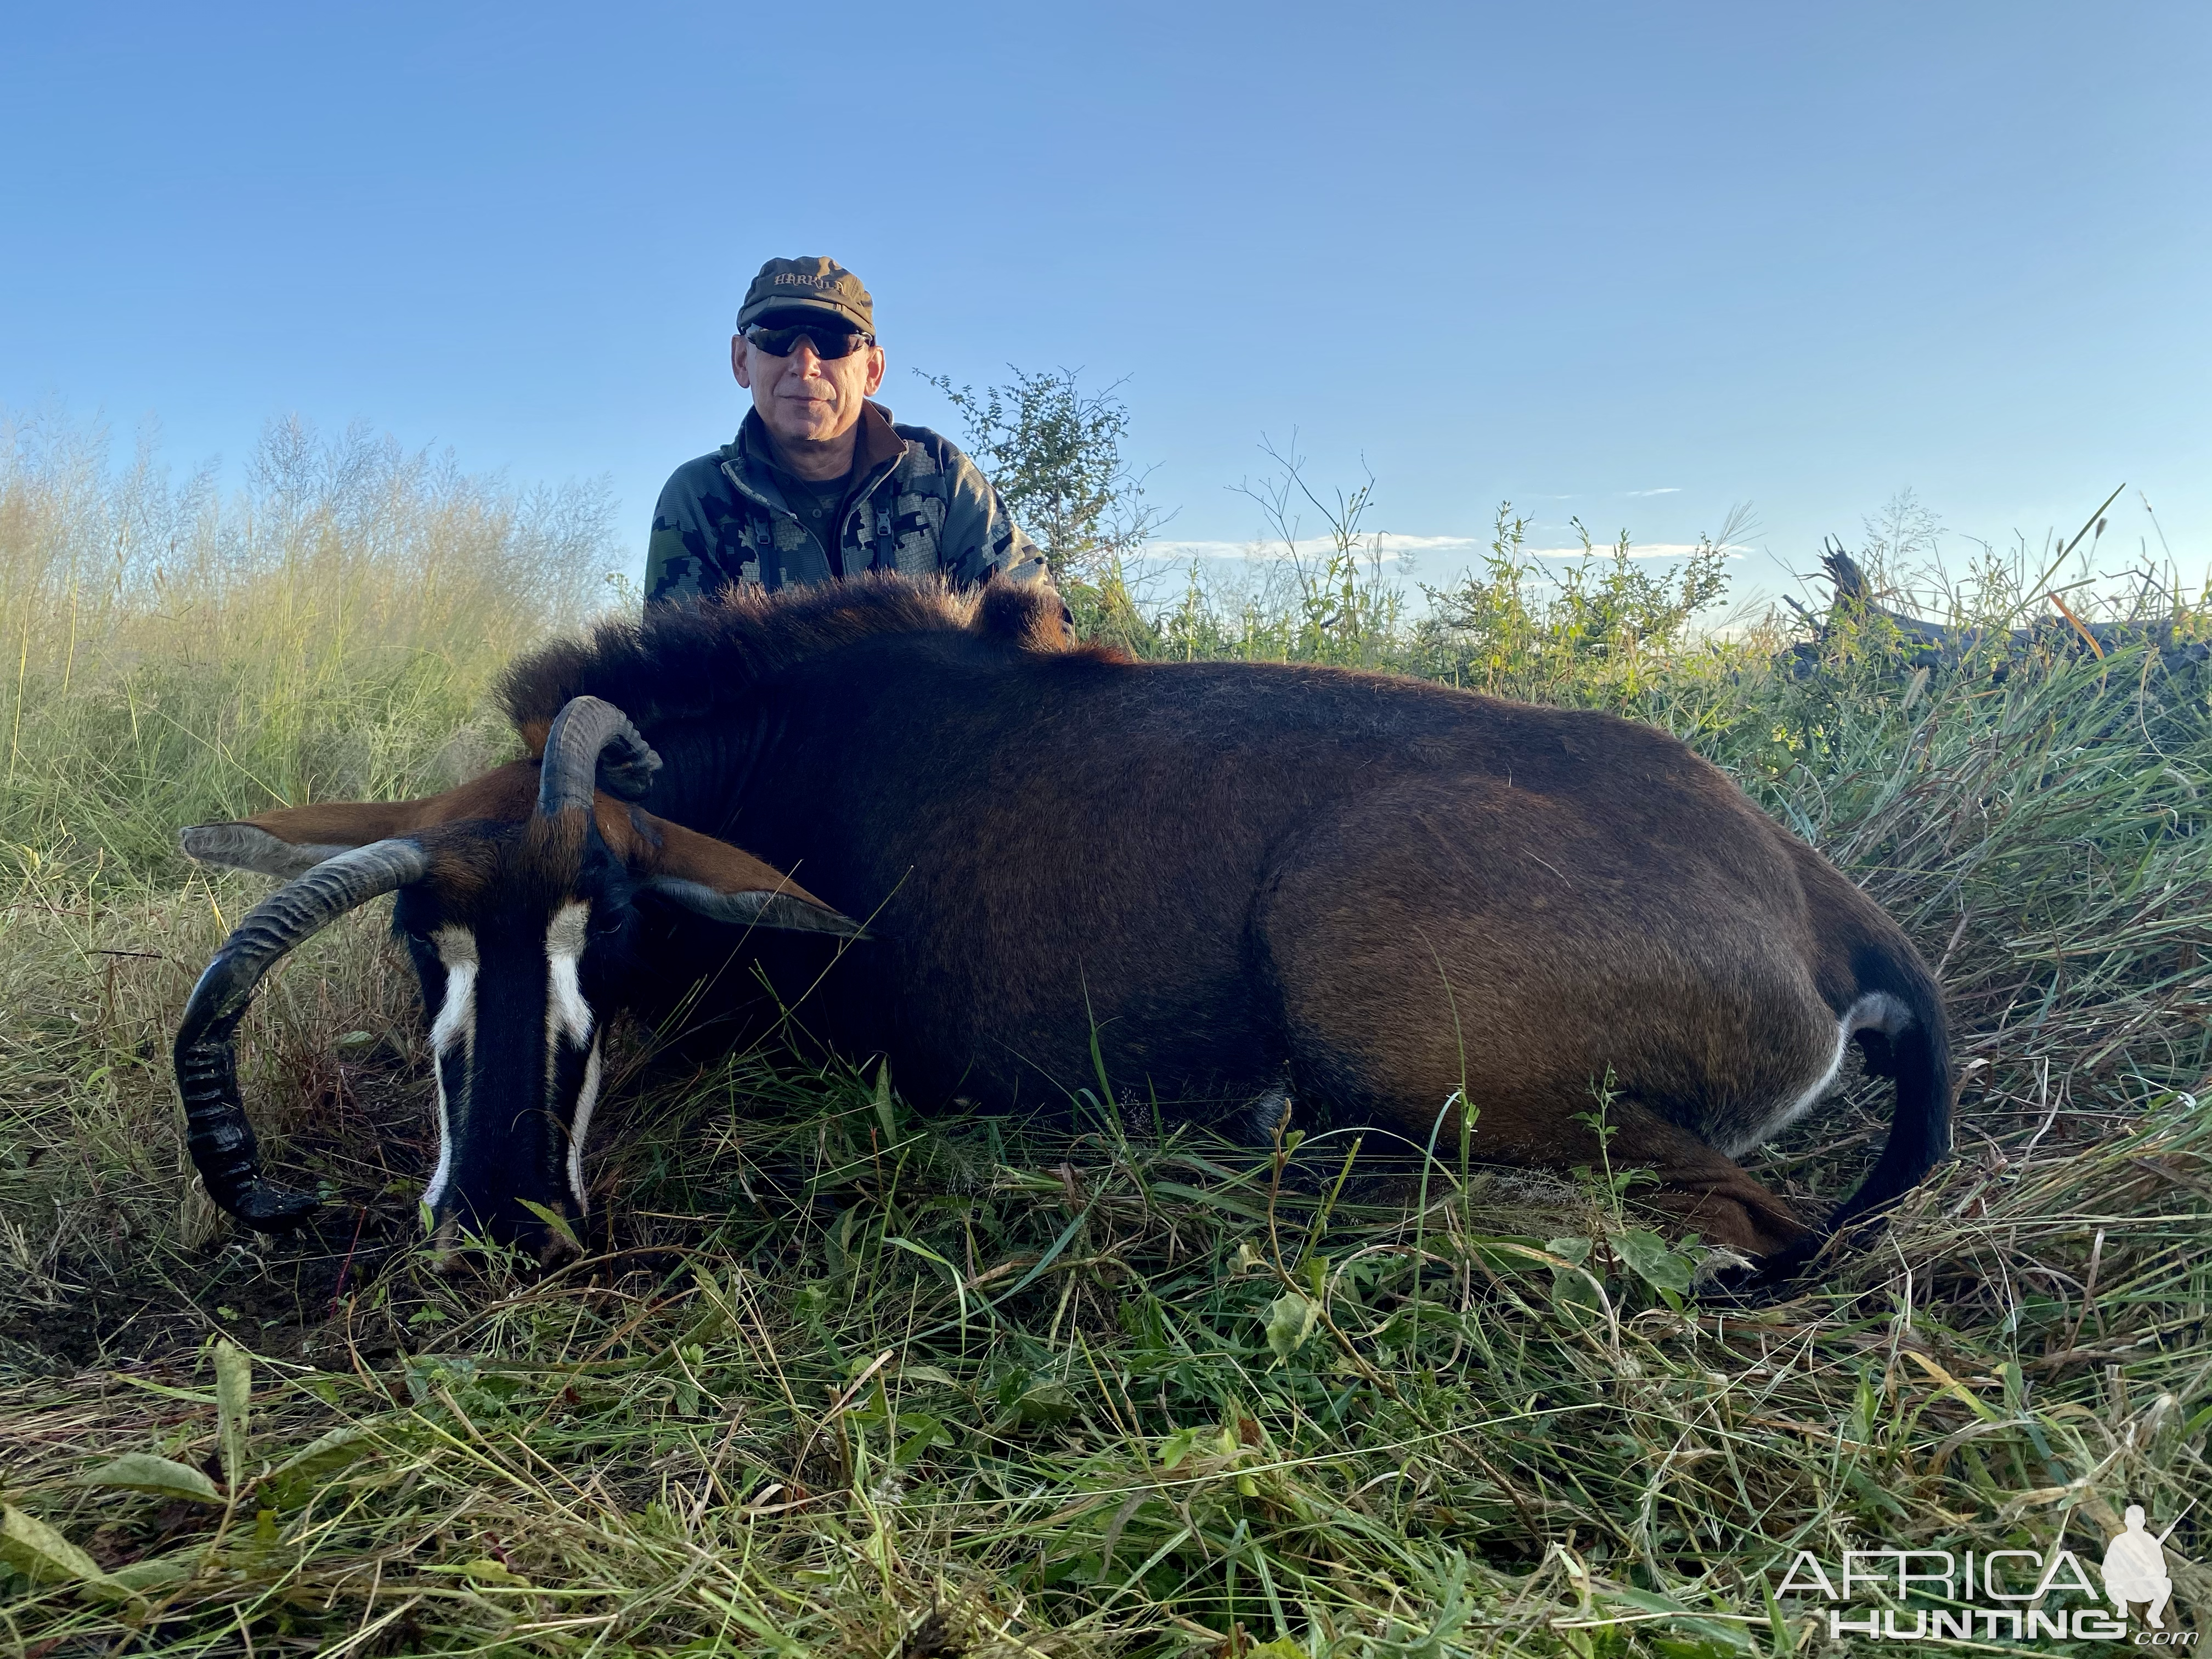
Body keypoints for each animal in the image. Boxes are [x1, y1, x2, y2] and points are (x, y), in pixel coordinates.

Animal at [185, 571, 1955, 1274]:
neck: (805, 758)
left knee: (1752, 1221)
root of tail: (1821, 902)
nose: (497, 1209)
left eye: (605, 923)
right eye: (419, 945)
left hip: (1394, 1009)